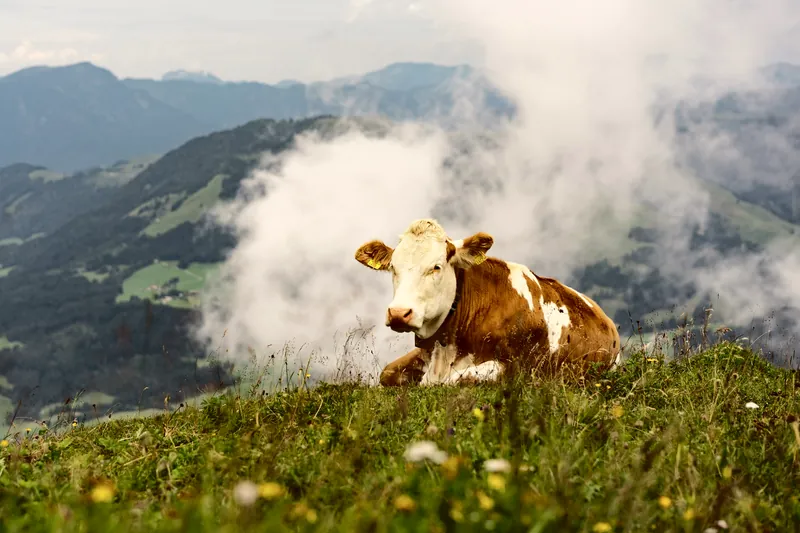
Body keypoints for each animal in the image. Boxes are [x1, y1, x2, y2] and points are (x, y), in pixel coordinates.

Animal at [353, 218, 621, 387]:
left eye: (436, 267)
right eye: (393, 268)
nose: (399, 313)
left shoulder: (518, 368)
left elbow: (455, 380)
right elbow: (386, 373)